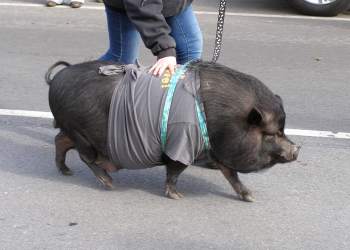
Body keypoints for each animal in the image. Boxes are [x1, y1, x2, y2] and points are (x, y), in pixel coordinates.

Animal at [45, 60, 300, 201]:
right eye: (272, 133)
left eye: (283, 130)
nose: (297, 149)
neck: (225, 122)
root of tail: (56, 79)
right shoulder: (181, 144)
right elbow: (175, 171)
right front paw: (178, 196)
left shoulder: (219, 153)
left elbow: (232, 176)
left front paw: (250, 197)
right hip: (82, 134)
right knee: (85, 156)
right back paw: (108, 183)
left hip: (73, 130)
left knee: (60, 141)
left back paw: (66, 172)